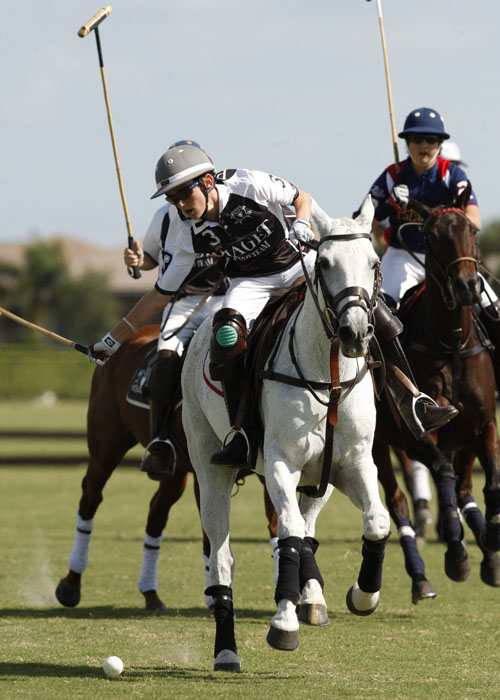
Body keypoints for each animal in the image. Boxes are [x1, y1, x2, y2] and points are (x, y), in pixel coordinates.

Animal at [55, 325, 278, 612]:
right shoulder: (204, 472)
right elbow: (210, 535)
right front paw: (217, 593)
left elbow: (277, 524)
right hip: (105, 449)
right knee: (91, 497)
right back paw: (71, 584)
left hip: (175, 472)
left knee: (156, 510)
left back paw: (150, 593)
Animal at [181, 195, 391, 672]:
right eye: (325, 262)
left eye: (373, 261)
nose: (356, 333)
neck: (329, 374)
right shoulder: (280, 461)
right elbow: (289, 535)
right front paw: (283, 623)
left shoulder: (354, 462)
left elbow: (376, 521)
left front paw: (363, 595)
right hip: (209, 464)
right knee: (224, 556)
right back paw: (226, 650)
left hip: (321, 478)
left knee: (308, 524)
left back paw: (311, 598)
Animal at [373, 185, 500, 589]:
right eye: (430, 237)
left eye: (472, 231)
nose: (467, 286)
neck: (452, 344)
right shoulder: (415, 435)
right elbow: (441, 475)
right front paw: (457, 556)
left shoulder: (482, 425)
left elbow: (490, 485)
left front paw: (490, 539)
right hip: (377, 442)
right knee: (397, 500)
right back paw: (421, 576)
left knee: (464, 488)